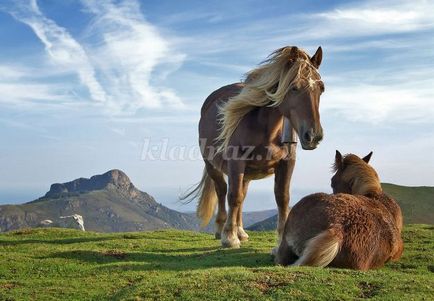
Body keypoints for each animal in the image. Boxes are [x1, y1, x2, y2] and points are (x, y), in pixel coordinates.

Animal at [181, 45, 326, 246]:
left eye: (321, 88)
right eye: (294, 88)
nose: (313, 136)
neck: (265, 129)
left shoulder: (287, 163)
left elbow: (282, 198)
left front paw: (280, 238)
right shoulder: (236, 163)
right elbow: (233, 196)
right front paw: (229, 237)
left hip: (248, 173)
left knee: (242, 196)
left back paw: (241, 231)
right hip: (212, 165)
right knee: (222, 191)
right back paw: (221, 229)